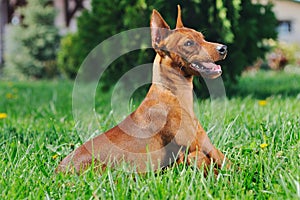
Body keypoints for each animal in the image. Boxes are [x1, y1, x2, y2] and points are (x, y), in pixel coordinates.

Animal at [56, 5, 229, 174]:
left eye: (202, 37)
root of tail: (58, 172)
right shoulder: (196, 149)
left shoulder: (211, 151)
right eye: (188, 43)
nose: (223, 48)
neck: (174, 95)